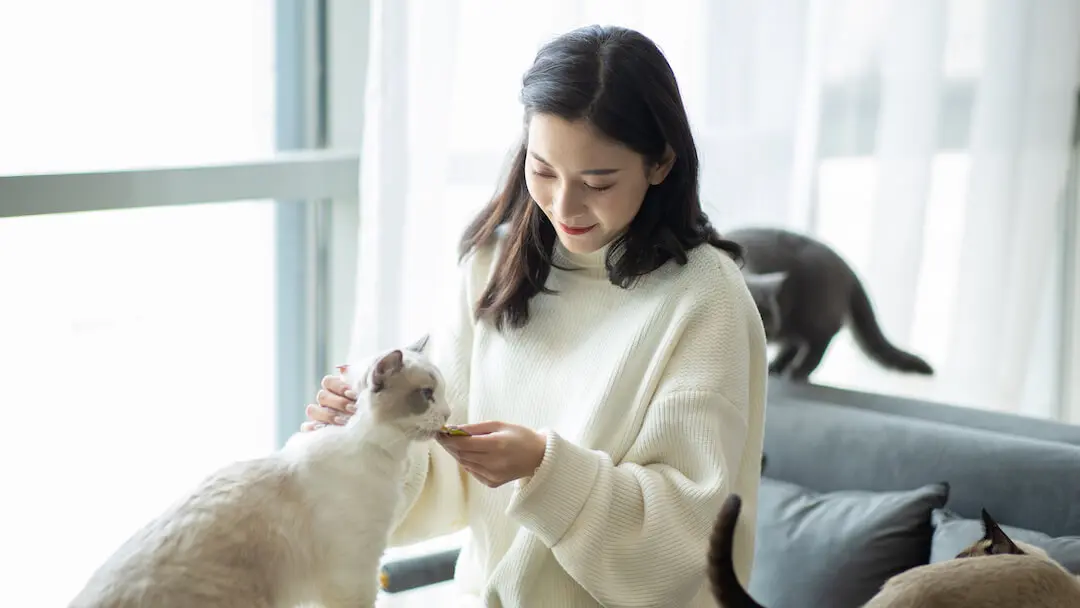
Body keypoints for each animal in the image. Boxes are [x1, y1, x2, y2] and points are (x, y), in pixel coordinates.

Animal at [730, 226, 933, 380]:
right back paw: (776, 367)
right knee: (795, 343)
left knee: (820, 340)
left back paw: (796, 371)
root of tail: (847, 266)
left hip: (814, 313)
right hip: (793, 323)